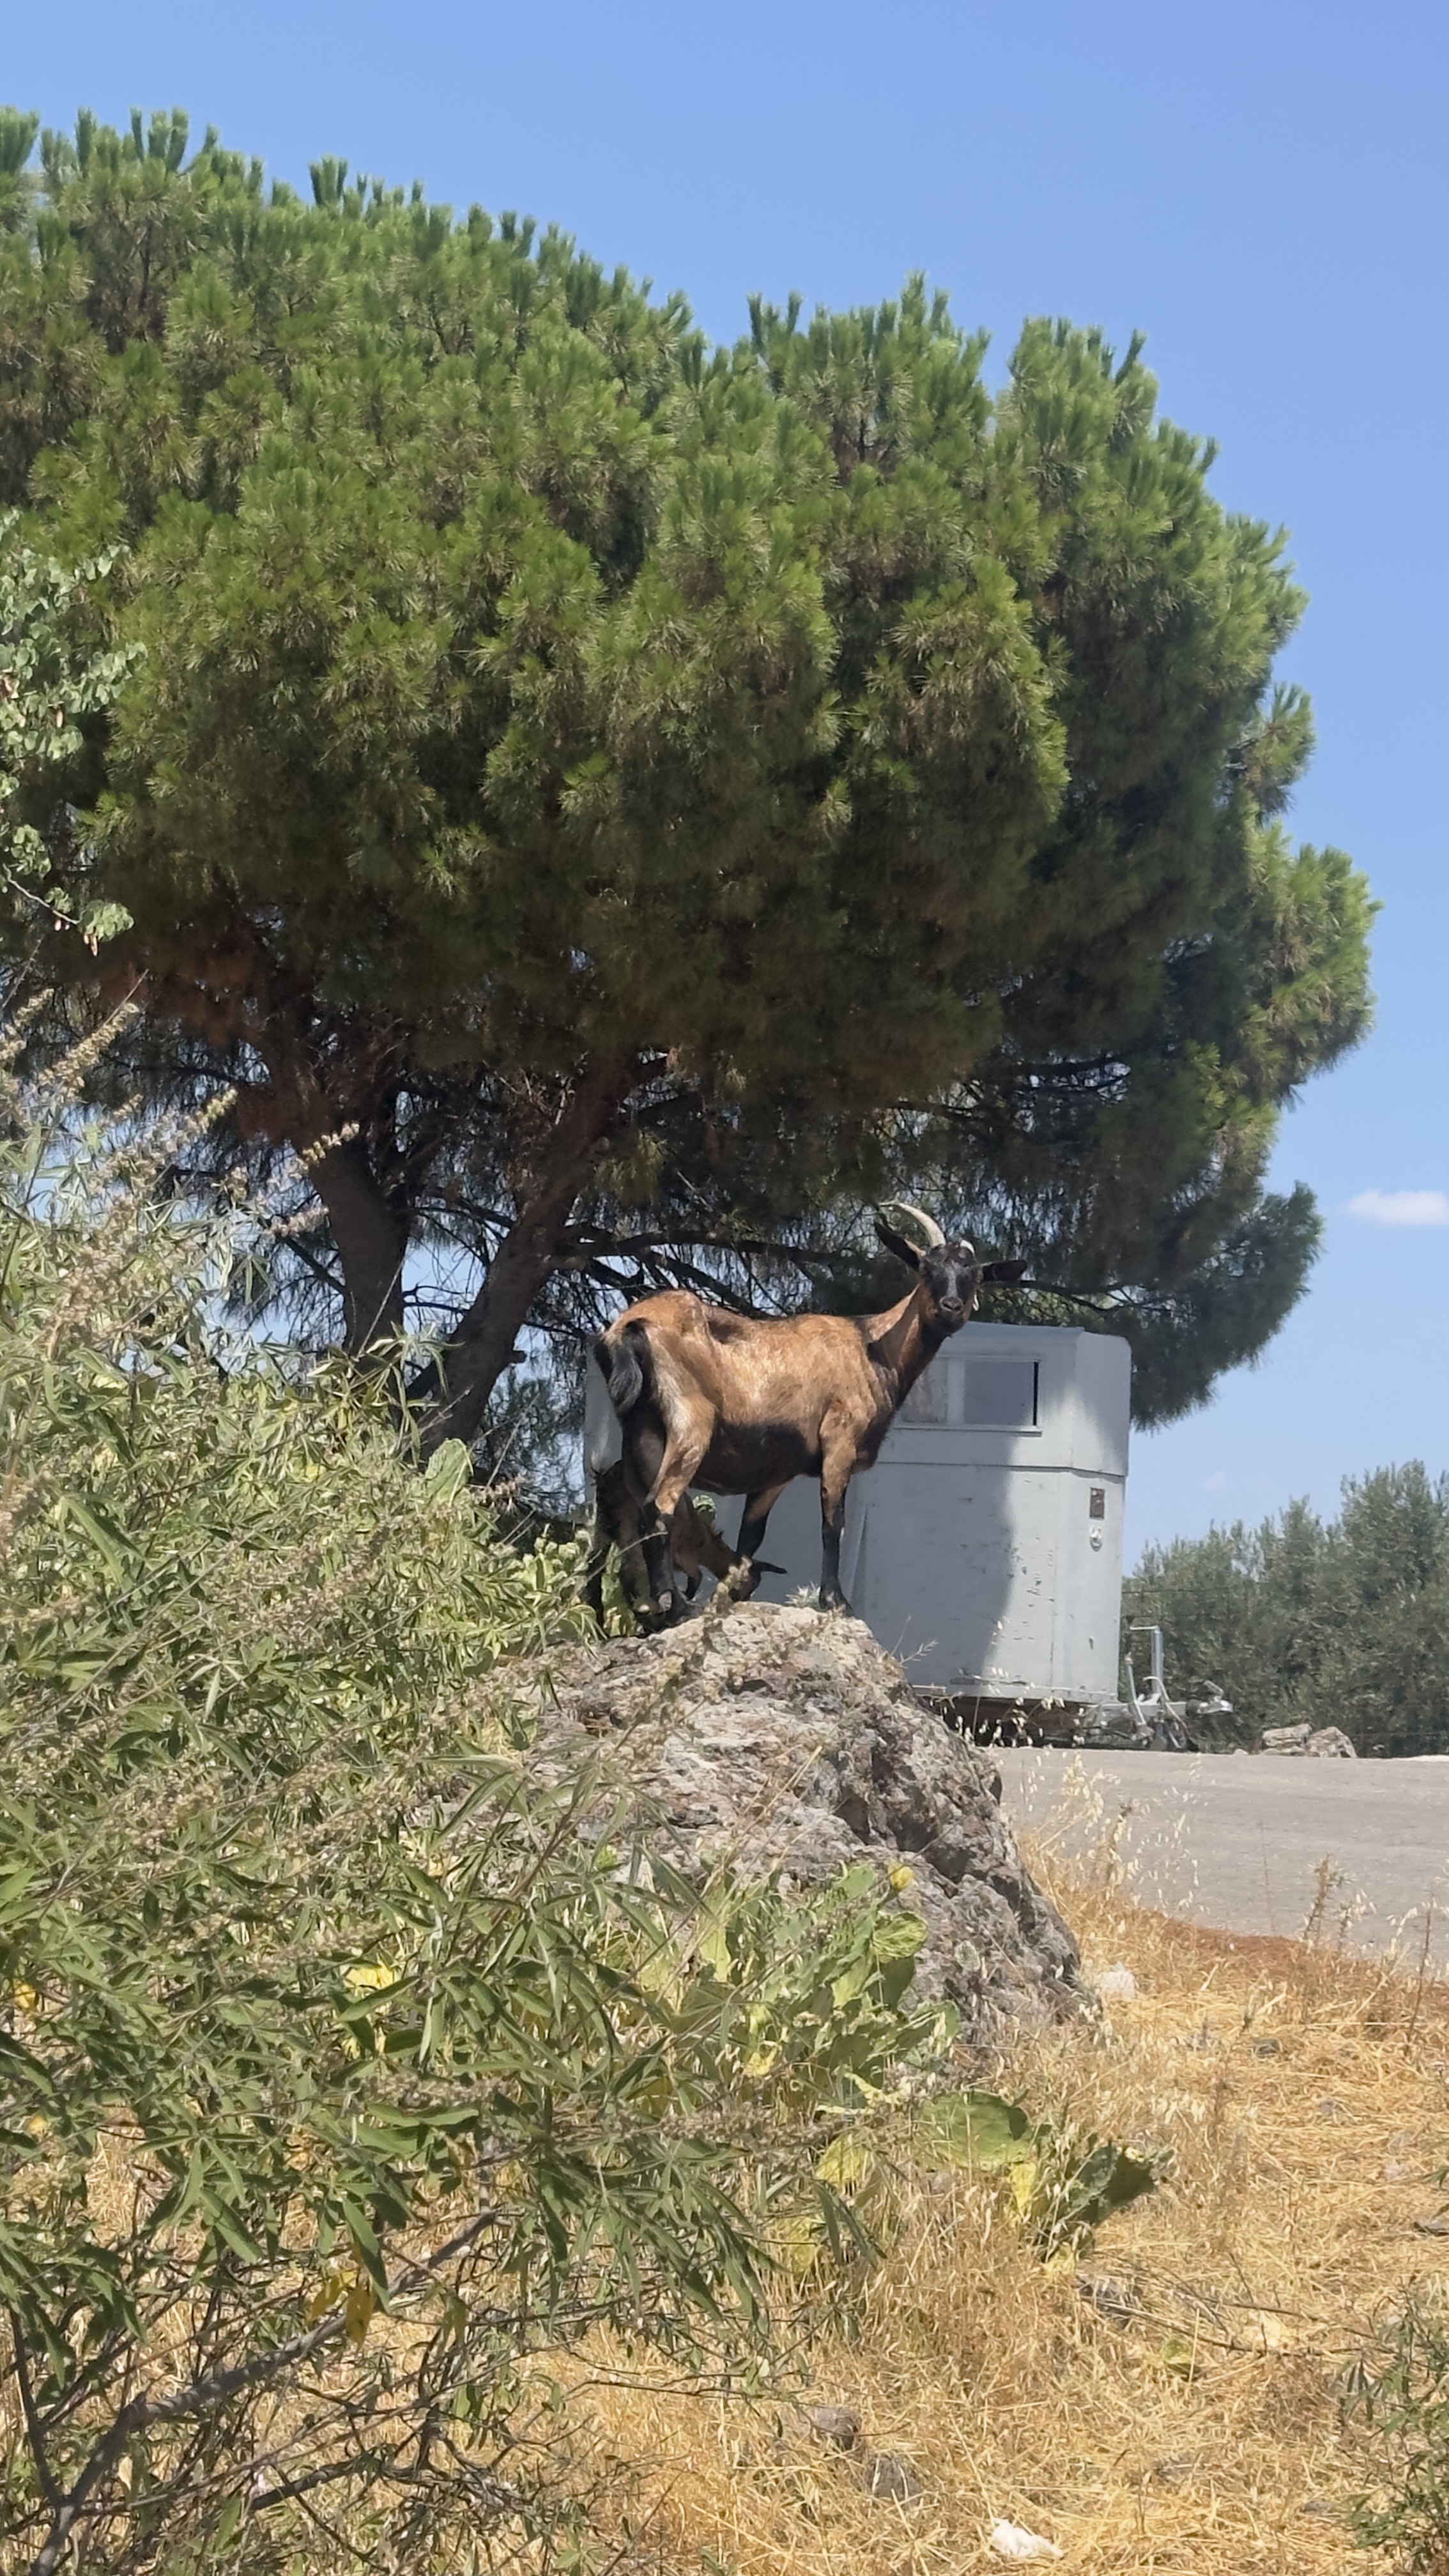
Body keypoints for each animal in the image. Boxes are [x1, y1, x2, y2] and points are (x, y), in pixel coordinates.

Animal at [591, 1209, 1025, 1617]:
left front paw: (730, 1600)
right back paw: (673, 1605)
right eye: (927, 1269)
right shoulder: (839, 1442)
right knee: (659, 1505)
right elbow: (833, 1524)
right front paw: (836, 1602)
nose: (952, 1308)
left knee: (634, 1516)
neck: (873, 1348)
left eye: (974, 1276)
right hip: (690, 1422)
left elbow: (751, 1539)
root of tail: (630, 1326)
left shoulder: (778, 1471)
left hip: (642, 1435)